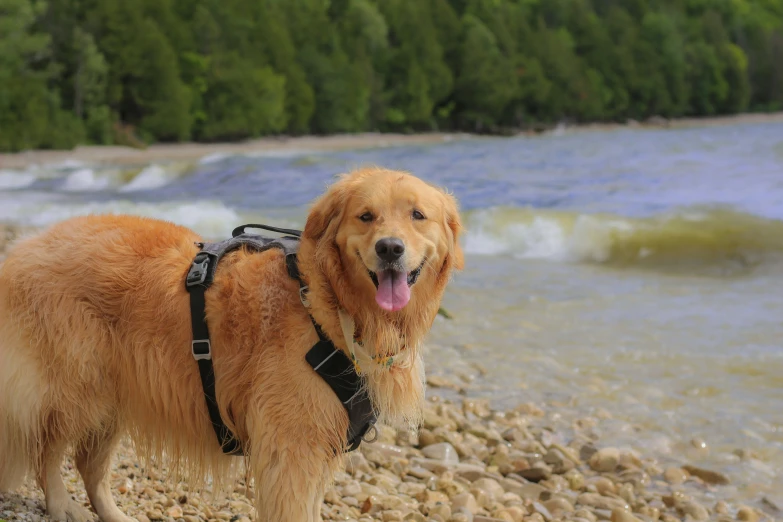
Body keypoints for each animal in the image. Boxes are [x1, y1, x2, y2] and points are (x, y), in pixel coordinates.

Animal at [0, 168, 462, 520]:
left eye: (418, 215)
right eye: (366, 216)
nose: (390, 248)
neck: (328, 303)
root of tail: (25, 247)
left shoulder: (318, 444)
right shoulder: (291, 445)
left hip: (114, 394)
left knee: (89, 465)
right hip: (75, 386)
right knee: (47, 450)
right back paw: (61, 505)